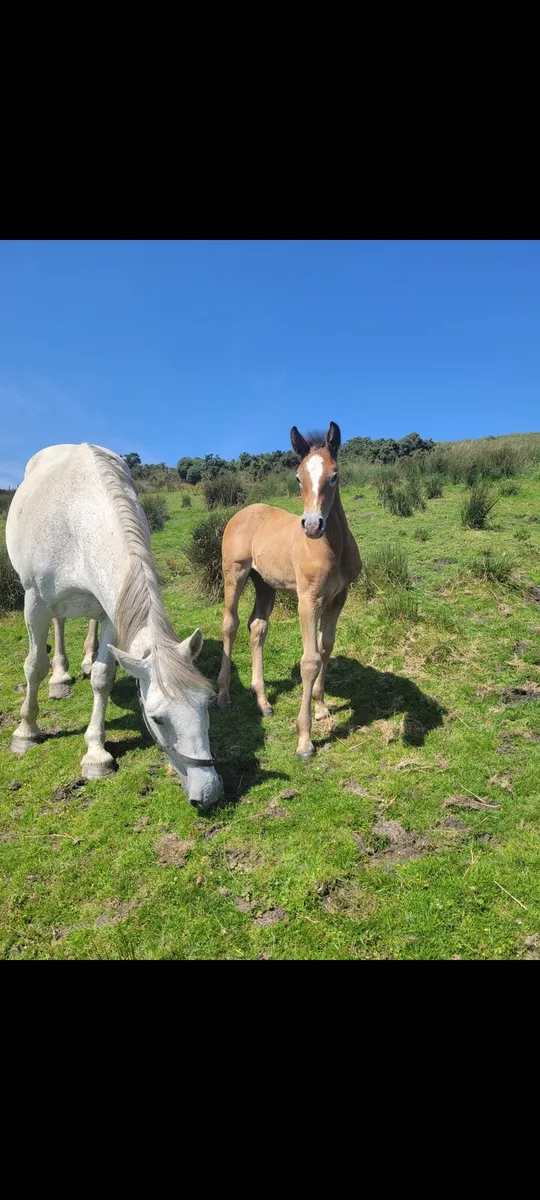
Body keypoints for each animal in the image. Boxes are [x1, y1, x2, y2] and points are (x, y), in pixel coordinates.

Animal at [5, 443, 223, 810]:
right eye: (158, 718)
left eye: (207, 703)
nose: (207, 792)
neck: (77, 519)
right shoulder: (34, 603)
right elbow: (33, 666)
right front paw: (26, 730)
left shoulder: (112, 610)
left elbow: (102, 676)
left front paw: (96, 753)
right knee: (57, 628)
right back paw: (60, 678)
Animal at [217, 421, 361, 758]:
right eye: (298, 477)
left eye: (334, 475)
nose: (312, 525)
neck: (332, 547)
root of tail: (243, 512)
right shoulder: (308, 601)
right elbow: (309, 661)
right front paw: (305, 739)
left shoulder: (339, 597)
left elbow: (325, 647)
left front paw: (321, 708)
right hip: (235, 573)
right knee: (230, 624)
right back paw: (223, 697)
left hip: (264, 583)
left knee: (257, 627)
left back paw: (263, 701)